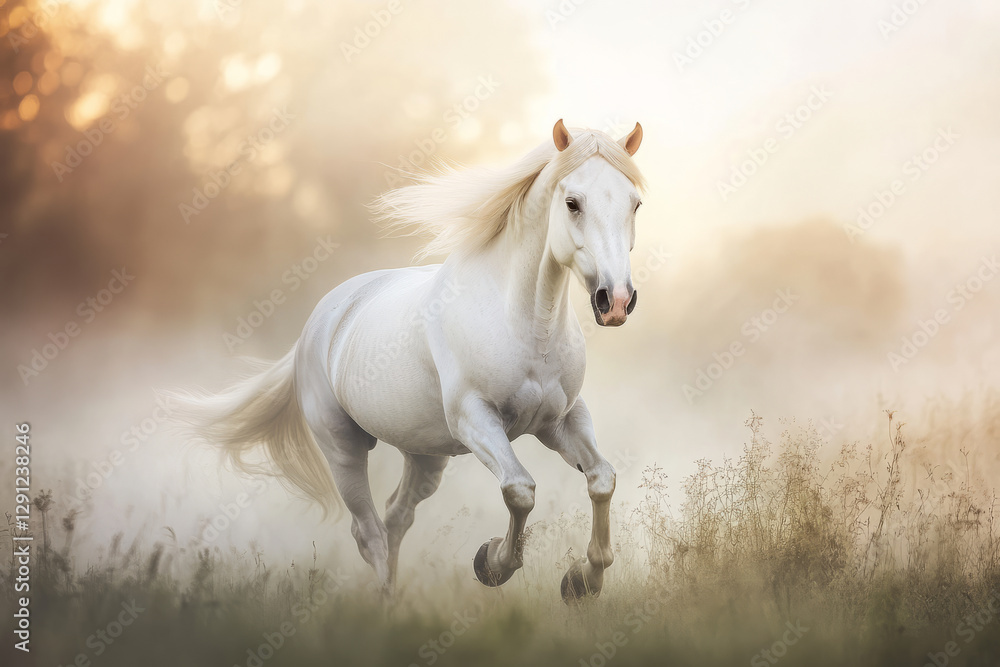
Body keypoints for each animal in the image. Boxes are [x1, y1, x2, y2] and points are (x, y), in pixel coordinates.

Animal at [175, 119, 646, 602]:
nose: (615, 301)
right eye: (572, 203)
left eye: (635, 203)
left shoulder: (562, 420)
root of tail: (318, 324)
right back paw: (386, 604)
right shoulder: (476, 419)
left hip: (425, 455)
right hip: (343, 448)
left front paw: (582, 580)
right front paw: (492, 563)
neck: (526, 324)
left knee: (396, 516)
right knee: (369, 532)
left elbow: (602, 479)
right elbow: (520, 490)